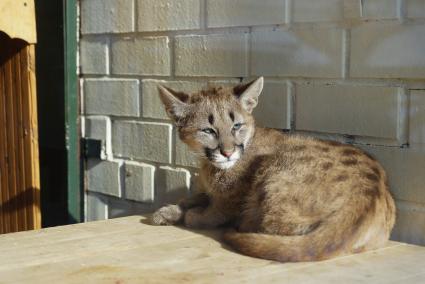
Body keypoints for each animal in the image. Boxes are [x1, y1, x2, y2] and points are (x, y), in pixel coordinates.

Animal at [152, 77, 394, 262]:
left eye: (236, 126)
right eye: (208, 130)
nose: (228, 153)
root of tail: (366, 198)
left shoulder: (231, 199)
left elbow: (216, 210)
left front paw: (192, 215)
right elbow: (191, 197)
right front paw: (168, 211)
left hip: (275, 168)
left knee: (277, 225)